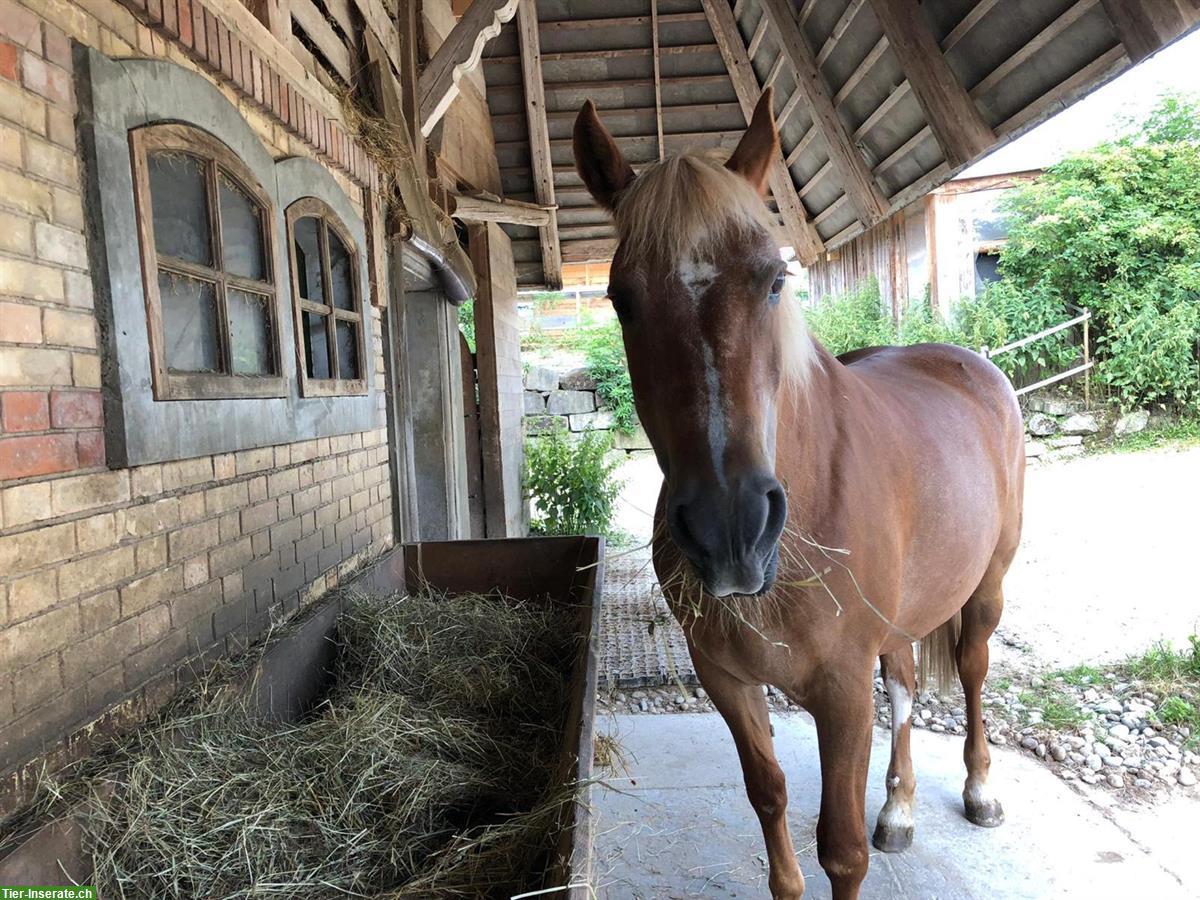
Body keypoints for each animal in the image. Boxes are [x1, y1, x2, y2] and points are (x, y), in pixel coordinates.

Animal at [571, 86, 1022, 900]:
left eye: (775, 279)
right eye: (621, 298)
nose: (731, 532)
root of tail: (969, 364)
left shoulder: (841, 691)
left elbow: (840, 847)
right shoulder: (725, 678)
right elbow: (769, 793)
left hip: (987, 588)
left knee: (972, 673)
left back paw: (979, 791)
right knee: (905, 681)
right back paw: (900, 808)